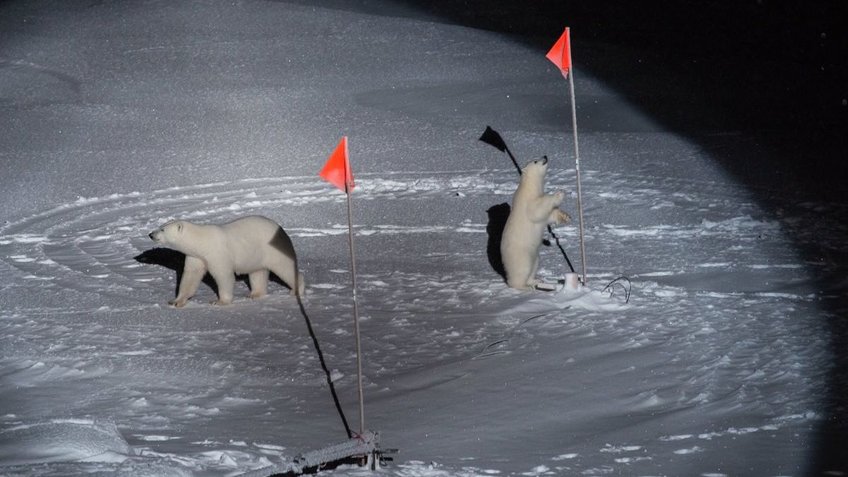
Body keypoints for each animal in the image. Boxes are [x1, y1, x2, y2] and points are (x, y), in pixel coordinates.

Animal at [149, 215, 304, 306]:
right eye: (160, 226)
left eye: (162, 230)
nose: (150, 234)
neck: (201, 241)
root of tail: (281, 229)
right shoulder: (195, 256)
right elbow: (190, 276)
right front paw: (176, 301)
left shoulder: (217, 253)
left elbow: (224, 275)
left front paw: (219, 301)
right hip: (256, 254)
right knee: (257, 272)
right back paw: (254, 294)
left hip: (272, 249)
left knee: (284, 267)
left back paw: (296, 289)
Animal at [496, 158, 568, 288]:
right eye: (535, 161)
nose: (545, 156)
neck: (529, 187)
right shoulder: (527, 201)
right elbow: (537, 209)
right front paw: (559, 194)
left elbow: (549, 216)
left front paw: (565, 216)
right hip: (522, 255)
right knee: (522, 270)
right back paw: (524, 286)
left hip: (535, 256)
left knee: (534, 266)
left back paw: (536, 280)